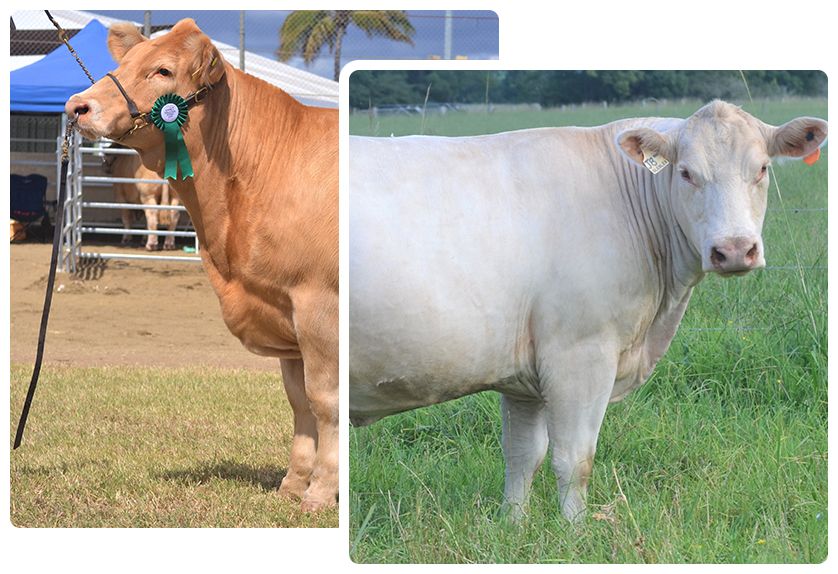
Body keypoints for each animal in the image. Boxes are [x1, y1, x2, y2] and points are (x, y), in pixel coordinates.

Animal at [65, 19, 338, 512]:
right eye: (124, 63)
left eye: (162, 70)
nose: (77, 106)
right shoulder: (282, 310)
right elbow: (299, 401)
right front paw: (292, 485)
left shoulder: (318, 304)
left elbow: (324, 400)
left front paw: (322, 492)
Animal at [348, 101, 827, 522]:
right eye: (687, 173)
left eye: (762, 169)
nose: (734, 250)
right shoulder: (580, 352)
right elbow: (574, 458)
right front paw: (575, 532)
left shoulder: (522, 375)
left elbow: (523, 456)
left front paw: (513, 526)